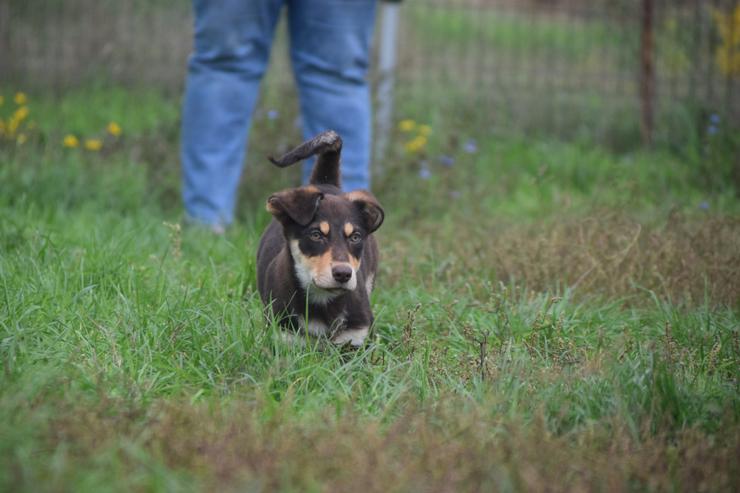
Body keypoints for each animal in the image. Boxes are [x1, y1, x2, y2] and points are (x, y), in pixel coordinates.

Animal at [258, 131, 384, 346]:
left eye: (355, 237)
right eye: (316, 235)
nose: (343, 274)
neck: (324, 300)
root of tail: (324, 182)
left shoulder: (356, 338)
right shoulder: (286, 336)